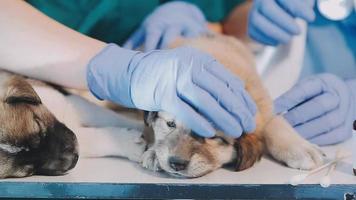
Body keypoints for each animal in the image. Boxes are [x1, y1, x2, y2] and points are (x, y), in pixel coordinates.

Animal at [140, 34, 324, 178]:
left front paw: (300, 148)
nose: (176, 163)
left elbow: (274, 122)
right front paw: (154, 153)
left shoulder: (263, 105)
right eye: (170, 124)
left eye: (213, 137)